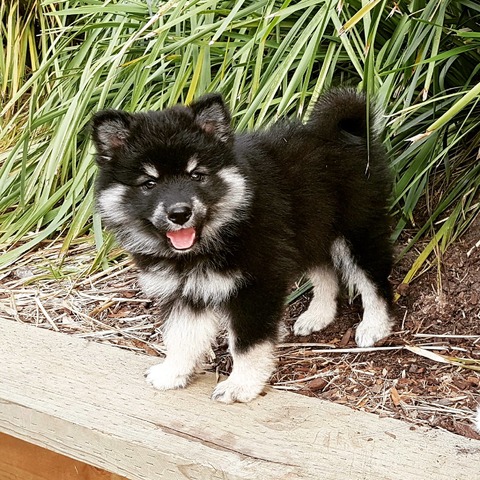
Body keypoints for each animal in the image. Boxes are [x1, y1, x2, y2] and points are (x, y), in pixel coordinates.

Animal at [91, 89, 394, 402]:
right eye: (149, 183)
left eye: (197, 175)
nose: (180, 213)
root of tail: (344, 129)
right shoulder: (185, 291)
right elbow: (182, 335)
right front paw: (173, 372)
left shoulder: (257, 285)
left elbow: (247, 344)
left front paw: (241, 385)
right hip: (311, 229)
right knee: (325, 272)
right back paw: (318, 315)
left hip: (356, 232)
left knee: (374, 282)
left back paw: (375, 326)